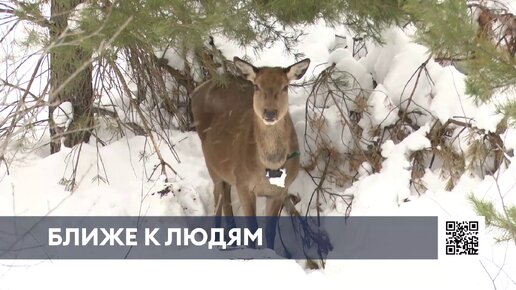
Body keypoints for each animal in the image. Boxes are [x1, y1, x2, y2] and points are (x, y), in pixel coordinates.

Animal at [191, 55, 308, 248]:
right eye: (257, 86)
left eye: (285, 87)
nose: (270, 112)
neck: (269, 165)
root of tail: (197, 89)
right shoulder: (243, 183)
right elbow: (252, 229)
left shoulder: (279, 191)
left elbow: (270, 232)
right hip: (211, 164)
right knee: (218, 197)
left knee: (225, 195)